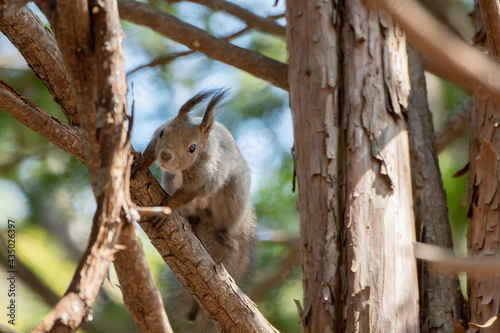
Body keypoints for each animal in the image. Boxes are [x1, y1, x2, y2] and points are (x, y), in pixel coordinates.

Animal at [136, 88, 256, 330]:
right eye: (162, 132)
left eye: (192, 148)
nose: (166, 156)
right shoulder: (156, 140)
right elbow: (150, 151)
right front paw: (141, 161)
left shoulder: (205, 176)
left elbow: (188, 192)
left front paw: (167, 208)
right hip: (170, 180)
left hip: (234, 194)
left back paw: (224, 236)